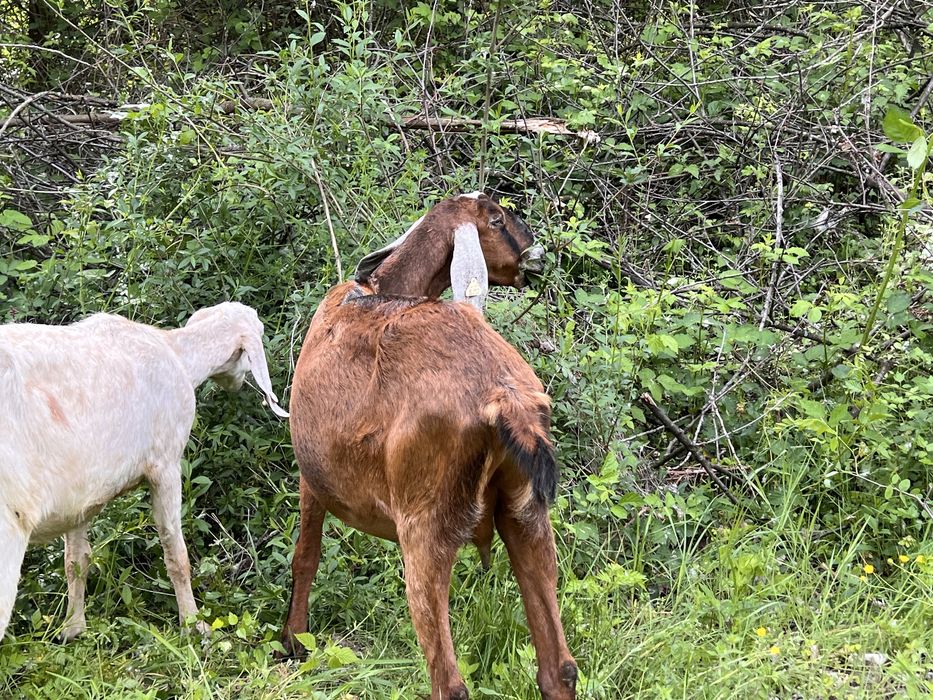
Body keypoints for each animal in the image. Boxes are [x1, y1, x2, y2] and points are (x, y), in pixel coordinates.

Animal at [0, 302, 288, 642]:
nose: (240, 384)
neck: (176, 353)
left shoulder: (79, 494)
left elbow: (76, 561)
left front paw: (73, 627)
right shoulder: (165, 464)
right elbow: (176, 555)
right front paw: (194, 626)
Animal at [280, 193, 577, 700]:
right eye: (497, 219)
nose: (536, 253)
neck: (375, 288)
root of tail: (505, 398)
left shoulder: (311, 478)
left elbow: (306, 556)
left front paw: (295, 642)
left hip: (424, 525)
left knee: (449, 683)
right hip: (527, 514)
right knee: (559, 668)